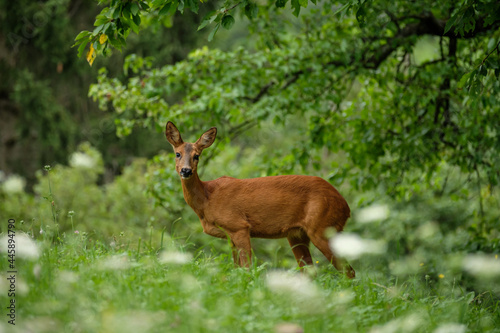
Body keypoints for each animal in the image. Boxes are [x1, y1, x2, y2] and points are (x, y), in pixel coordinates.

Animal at [166, 120, 354, 276]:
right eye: (177, 154)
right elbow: (236, 268)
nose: (186, 171)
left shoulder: (238, 226)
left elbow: (247, 268)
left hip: (323, 227)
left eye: (197, 156)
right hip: (298, 234)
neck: (207, 199)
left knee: (348, 271)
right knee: (309, 270)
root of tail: (345, 206)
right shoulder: (229, 234)